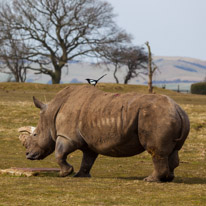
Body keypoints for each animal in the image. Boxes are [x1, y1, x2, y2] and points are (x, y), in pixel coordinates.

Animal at [18, 85, 190, 182]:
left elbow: (59, 153)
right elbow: (87, 159)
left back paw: (150, 180)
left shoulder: (67, 136)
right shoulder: (89, 141)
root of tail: (178, 109)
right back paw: (168, 179)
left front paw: (65, 174)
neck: (51, 113)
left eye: (35, 135)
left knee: (156, 152)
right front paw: (79, 176)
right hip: (170, 116)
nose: (27, 155)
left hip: (157, 117)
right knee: (172, 151)